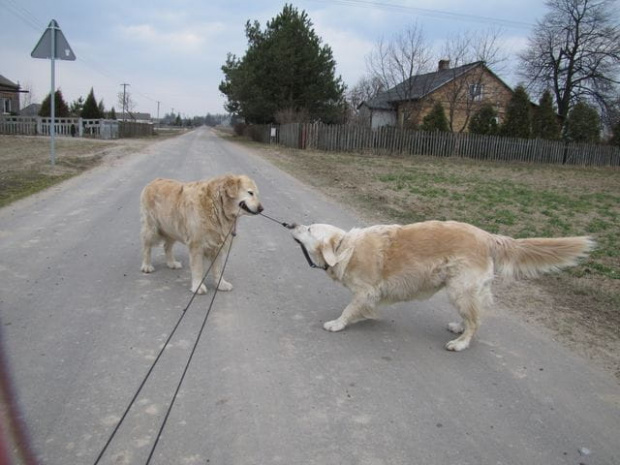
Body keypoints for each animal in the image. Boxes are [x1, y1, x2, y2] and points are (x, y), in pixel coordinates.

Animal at [294, 222, 592, 352]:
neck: (346, 249)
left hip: (459, 290)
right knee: (474, 317)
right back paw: (459, 327)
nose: (292, 224)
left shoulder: (366, 290)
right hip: (465, 291)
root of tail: (487, 236)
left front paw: (337, 324)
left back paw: (460, 343)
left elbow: (350, 309)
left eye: (309, 229)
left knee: (475, 322)